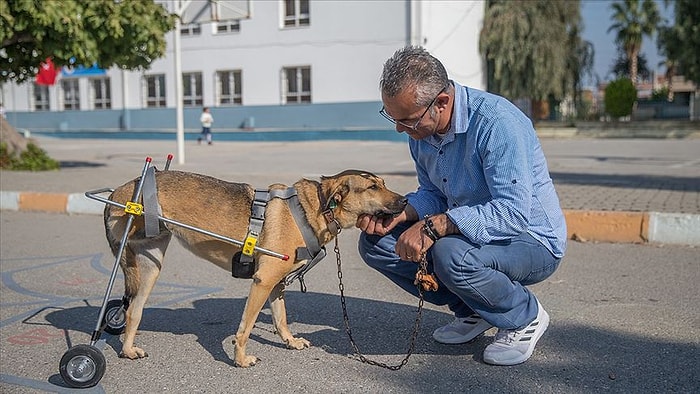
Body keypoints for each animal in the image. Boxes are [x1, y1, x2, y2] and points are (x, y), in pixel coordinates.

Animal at [106, 169, 408, 366]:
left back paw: (128, 350)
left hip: (150, 267)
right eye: (372, 188)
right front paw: (240, 359)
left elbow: (281, 318)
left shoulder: (276, 285)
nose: (406, 201)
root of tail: (124, 188)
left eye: (383, 183)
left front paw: (290, 341)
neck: (314, 209)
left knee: (133, 310)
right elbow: (246, 327)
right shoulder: (263, 282)